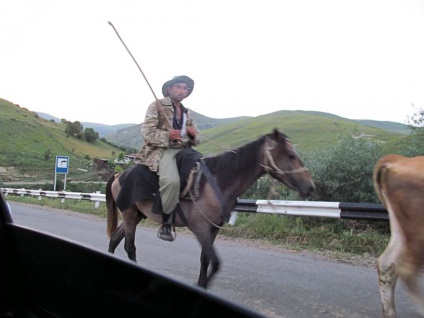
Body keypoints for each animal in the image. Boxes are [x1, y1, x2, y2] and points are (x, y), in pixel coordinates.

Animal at [106, 129, 314, 288]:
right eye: (291, 155)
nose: (310, 187)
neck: (218, 182)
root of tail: (119, 175)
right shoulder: (200, 229)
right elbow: (216, 263)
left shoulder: (212, 230)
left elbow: (205, 260)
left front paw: (202, 285)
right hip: (129, 214)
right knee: (130, 247)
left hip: (136, 215)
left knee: (115, 240)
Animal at [372, 153, 424, 316]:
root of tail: (399, 159)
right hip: (418, 230)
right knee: (406, 270)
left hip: (400, 229)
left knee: (386, 263)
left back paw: (390, 313)